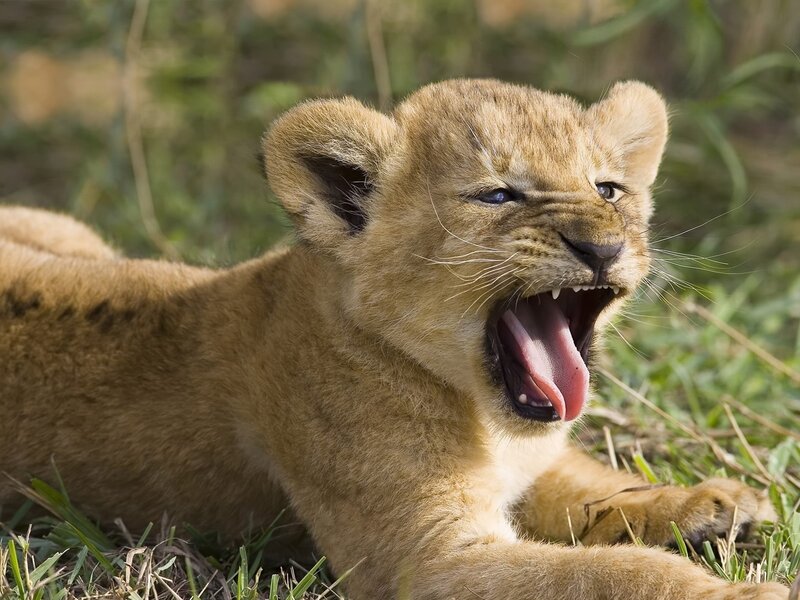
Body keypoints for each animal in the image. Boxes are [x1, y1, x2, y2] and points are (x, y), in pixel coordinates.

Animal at [0, 79, 790, 599]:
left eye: (608, 190)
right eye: (498, 195)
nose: (601, 246)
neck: (482, 415)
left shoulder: (533, 467)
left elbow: (600, 486)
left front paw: (711, 503)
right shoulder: (425, 560)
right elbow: (609, 573)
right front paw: (741, 592)